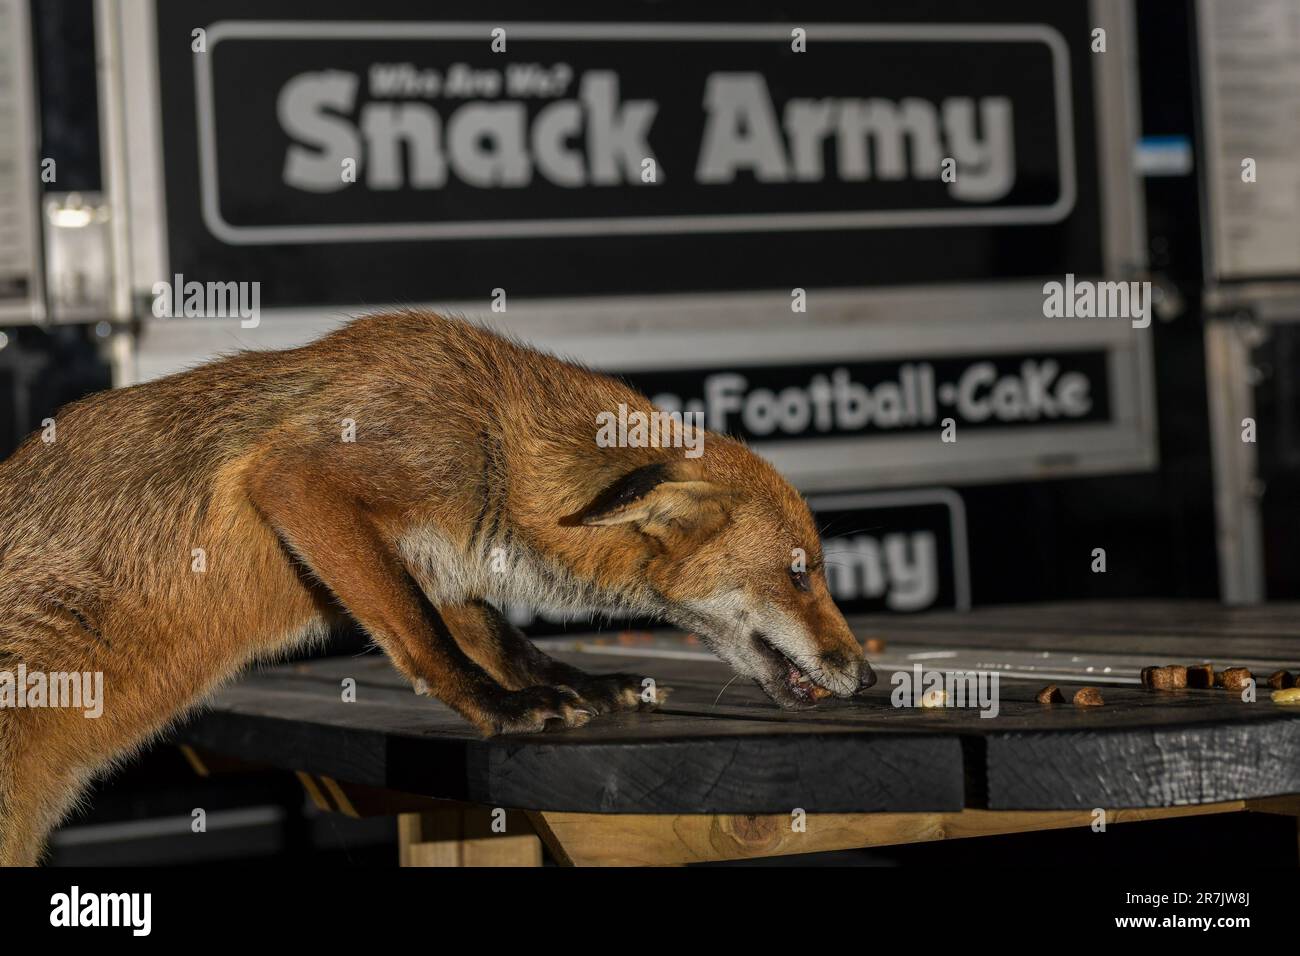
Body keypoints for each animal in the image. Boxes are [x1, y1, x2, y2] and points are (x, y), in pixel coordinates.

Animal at [0, 310, 876, 865]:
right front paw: (496, 709)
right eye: (801, 571)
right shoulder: (305, 481)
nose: (867, 677)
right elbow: (423, 636)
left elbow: (501, 636)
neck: (496, 441)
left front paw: (577, 683)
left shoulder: (442, 555)